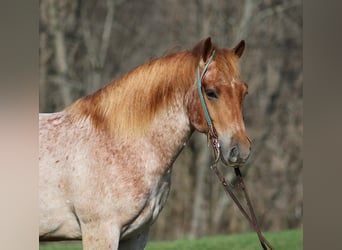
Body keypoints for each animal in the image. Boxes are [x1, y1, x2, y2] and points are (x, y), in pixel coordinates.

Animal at [38, 37, 251, 250]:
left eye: (244, 92)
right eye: (211, 92)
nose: (241, 151)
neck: (120, 145)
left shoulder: (136, 235)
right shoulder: (101, 231)